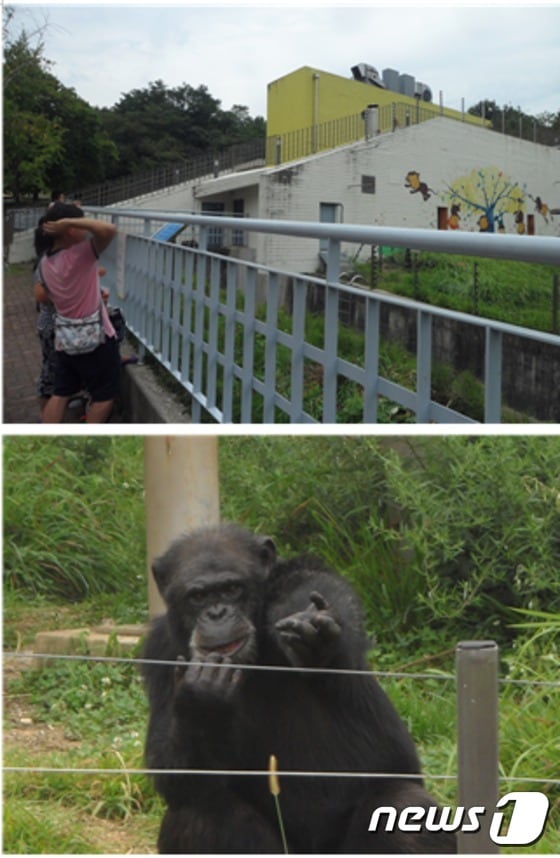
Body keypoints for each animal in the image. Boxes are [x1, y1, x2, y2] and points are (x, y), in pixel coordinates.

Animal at [141, 520, 456, 848]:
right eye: (198, 597)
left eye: (232, 589)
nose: (217, 613)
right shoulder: (160, 651)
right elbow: (176, 775)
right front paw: (201, 701)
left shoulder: (305, 580)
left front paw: (313, 632)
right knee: (198, 813)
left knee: (406, 808)